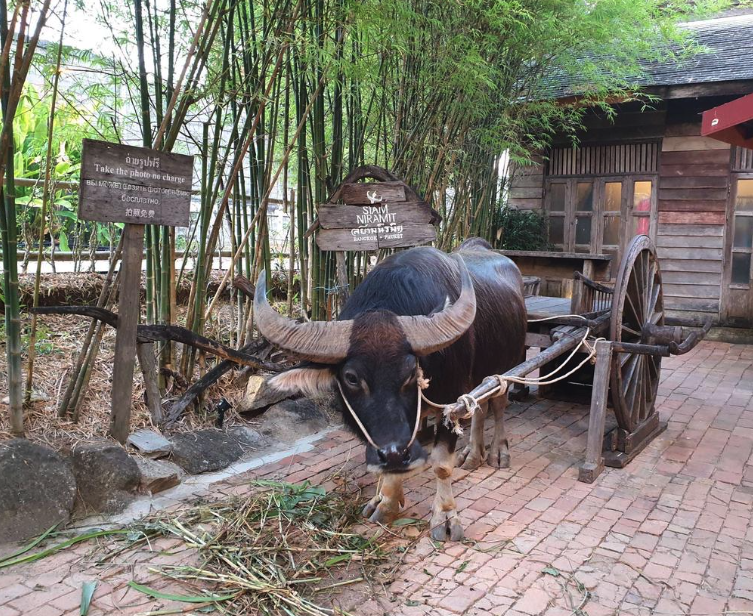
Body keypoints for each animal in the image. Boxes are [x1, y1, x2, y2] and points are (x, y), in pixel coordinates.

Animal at [256, 238, 524, 540]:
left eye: (410, 373)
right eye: (351, 377)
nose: (394, 451)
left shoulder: (448, 403)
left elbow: (441, 464)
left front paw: (445, 517)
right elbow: (392, 467)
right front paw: (385, 501)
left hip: (508, 364)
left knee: (498, 403)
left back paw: (498, 452)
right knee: (479, 406)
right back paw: (472, 453)